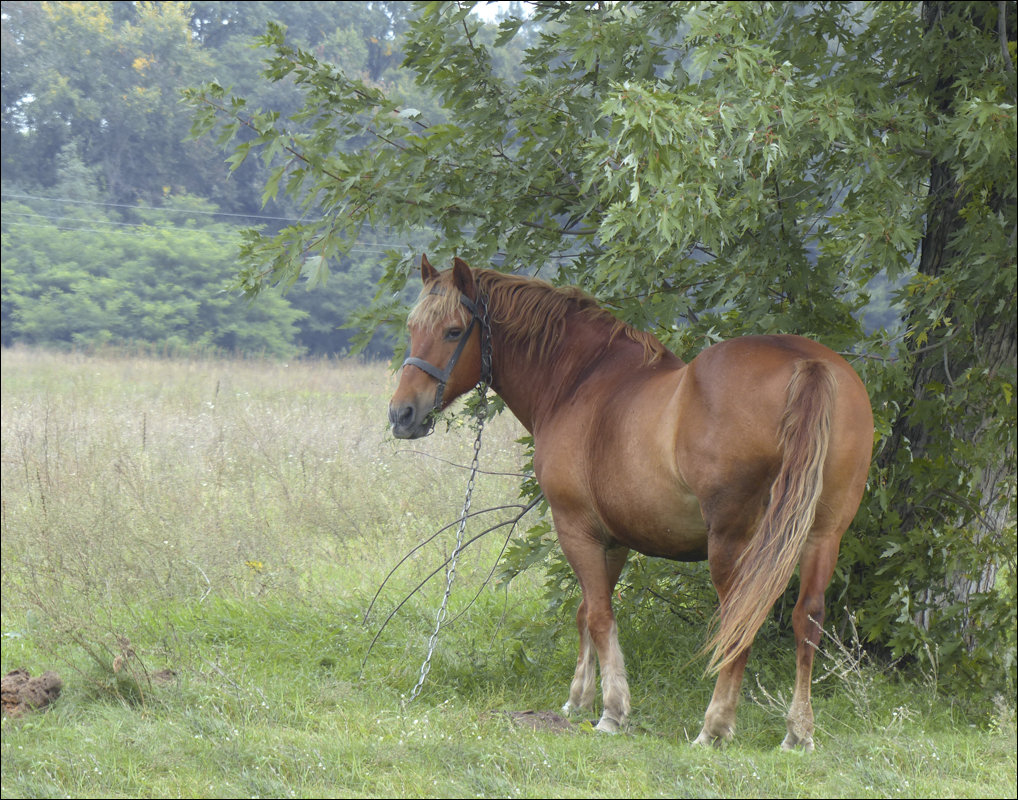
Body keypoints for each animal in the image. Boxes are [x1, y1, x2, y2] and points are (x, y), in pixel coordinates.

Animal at [384, 254, 871, 749]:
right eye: (412, 326)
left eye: (453, 331)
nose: (401, 414)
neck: (579, 381)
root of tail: (805, 362)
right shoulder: (613, 539)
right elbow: (585, 611)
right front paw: (577, 699)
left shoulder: (575, 528)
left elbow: (600, 616)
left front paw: (612, 710)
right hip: (822, 535)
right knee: (808, 618)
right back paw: (798, 733)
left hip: (732, 541)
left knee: (739, 621)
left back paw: (714, 727)